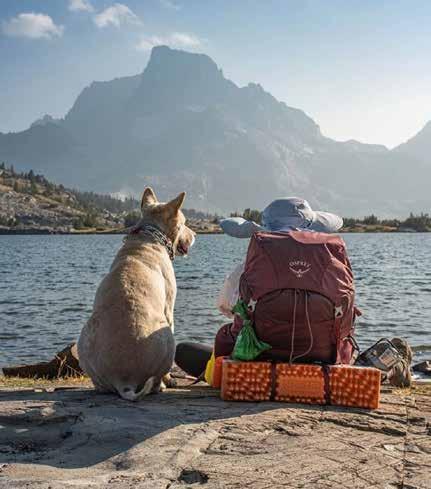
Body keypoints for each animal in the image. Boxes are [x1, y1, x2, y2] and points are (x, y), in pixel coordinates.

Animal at [77, 187, 195, 400]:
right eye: (183, 223)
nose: (196, 234)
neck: (149, 236)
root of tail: (124, 381)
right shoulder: (169, 309)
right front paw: (171, 381)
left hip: (83, 340)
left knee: (102, 386)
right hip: (168, 338)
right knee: (156, 379)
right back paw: (161, 385)